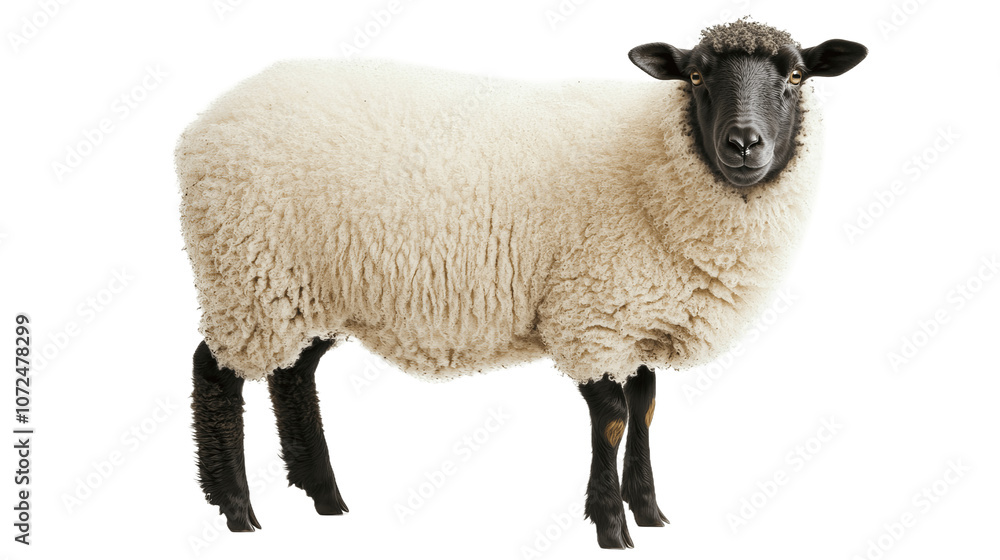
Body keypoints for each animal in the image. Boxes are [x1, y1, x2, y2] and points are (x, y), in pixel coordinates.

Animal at [177, 19, 867, 548]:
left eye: (796, 77)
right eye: (696, 76)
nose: (744, 143)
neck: (651, 169)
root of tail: (203, 122)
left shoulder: (638, 314)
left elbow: (645, 409)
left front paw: (649, 512)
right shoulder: (592, 314)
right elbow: (613, 419)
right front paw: (611, 527)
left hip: (300, 289)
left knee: (293, 374)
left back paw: (324, 497)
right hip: (245, 273)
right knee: (215, 373)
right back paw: (238, 511)